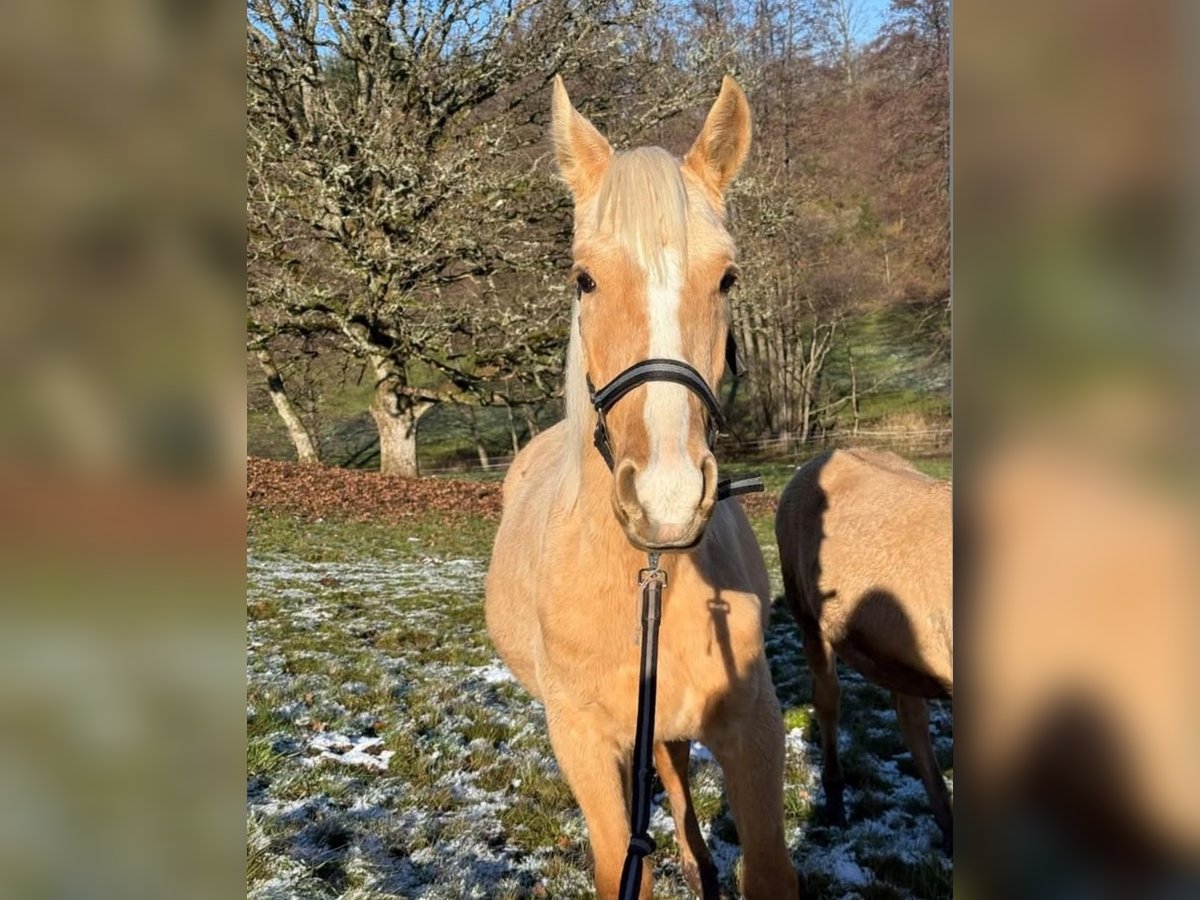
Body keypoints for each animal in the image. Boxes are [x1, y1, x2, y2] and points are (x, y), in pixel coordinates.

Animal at [485, 77, 800, 899]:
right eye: (583, 278)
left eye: (727, 278)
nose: (665, 499)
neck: (648, 575)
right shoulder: (583, 741)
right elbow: (621, 858)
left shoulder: (753, 726)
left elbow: (767, 863)